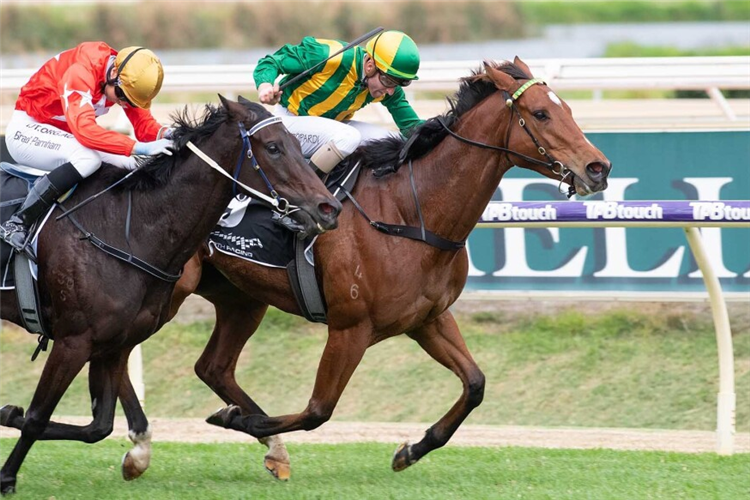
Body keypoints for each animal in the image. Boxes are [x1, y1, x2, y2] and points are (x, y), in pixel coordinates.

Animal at [0, 95, 340, 494]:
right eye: (273, 147)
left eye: (299, 145)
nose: (329, 208)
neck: (128, 227)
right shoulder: (74, 340)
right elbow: (38, 417)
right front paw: (7, 473)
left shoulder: (113, 343)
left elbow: (99, 426)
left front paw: (9, 413)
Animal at [117, 57, 612, 480]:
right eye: (541, 114)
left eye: (567, 108)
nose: (598, 167)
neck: (410, 212)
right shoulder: (349, 328)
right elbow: (318, 410)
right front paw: (237, 420)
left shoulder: (429, 318)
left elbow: (475, 384)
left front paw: (411, 449)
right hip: (164, 291)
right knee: (119, 353)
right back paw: (140, 452)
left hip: (240, 298)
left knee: (212, 367)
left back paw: (268, 449)